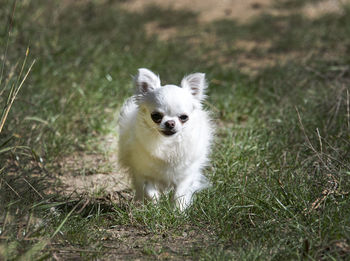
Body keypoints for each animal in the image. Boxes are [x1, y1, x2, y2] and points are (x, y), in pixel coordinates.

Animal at [118, 68, 213, 210]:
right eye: (156, 116)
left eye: (184, 117)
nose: (170, 123)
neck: (167, 144)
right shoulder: (142, 173)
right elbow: (150, 192)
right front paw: (155, 209)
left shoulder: (185, 175)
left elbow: (179, 194)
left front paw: (178, 211)